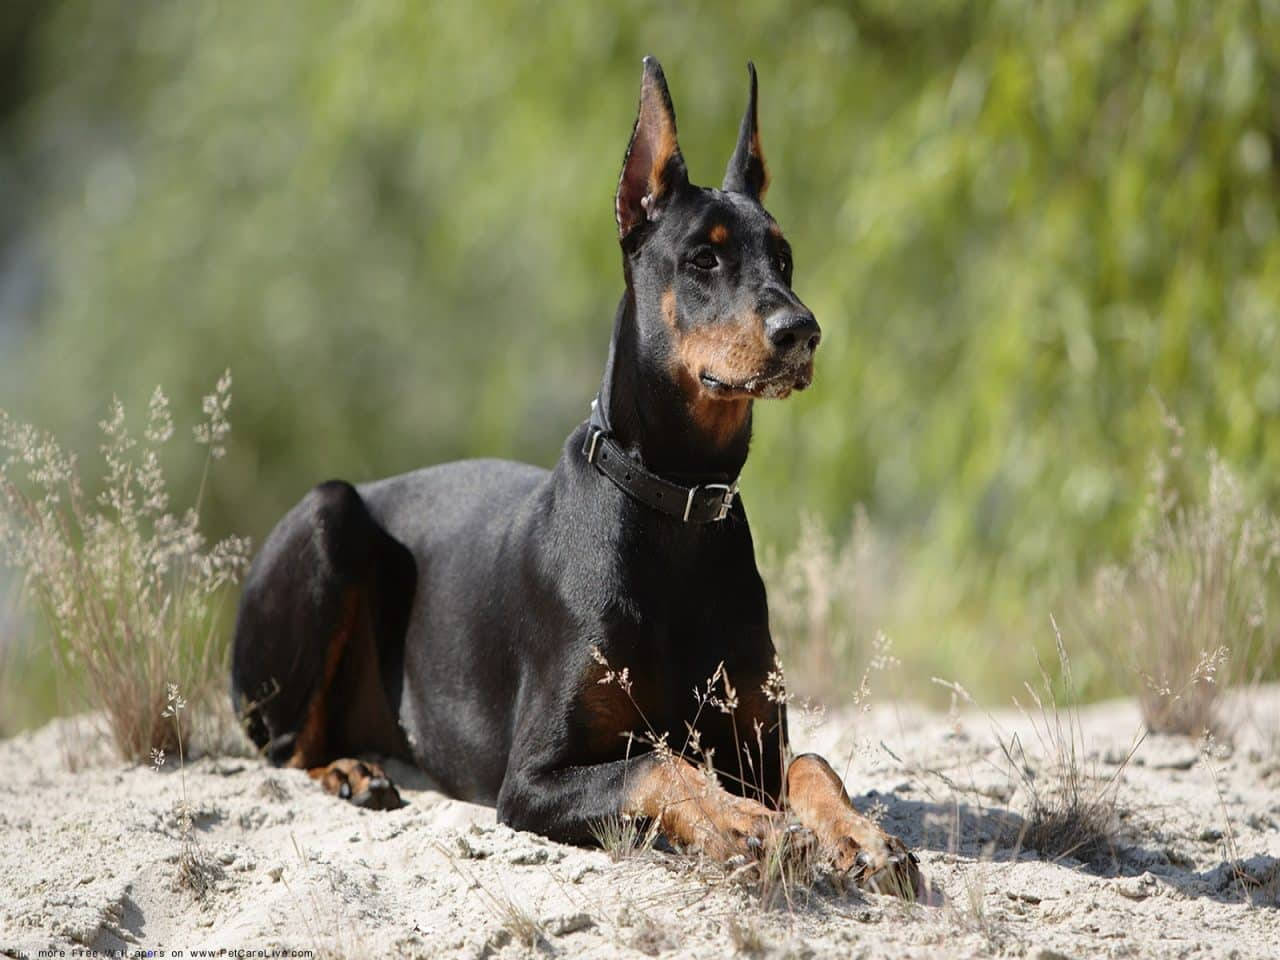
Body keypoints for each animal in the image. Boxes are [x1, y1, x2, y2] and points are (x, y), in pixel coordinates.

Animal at [232, 60, 921, 901]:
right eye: (704, 259)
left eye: (784, 257)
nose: (803, 332)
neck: (675, 505)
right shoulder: (532, 778)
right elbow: (660, 766)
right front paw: (743, 826)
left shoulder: (753, 741)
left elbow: (810, 763)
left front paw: (861, 834)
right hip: (328, 514)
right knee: (285, 747)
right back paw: (348, 771)